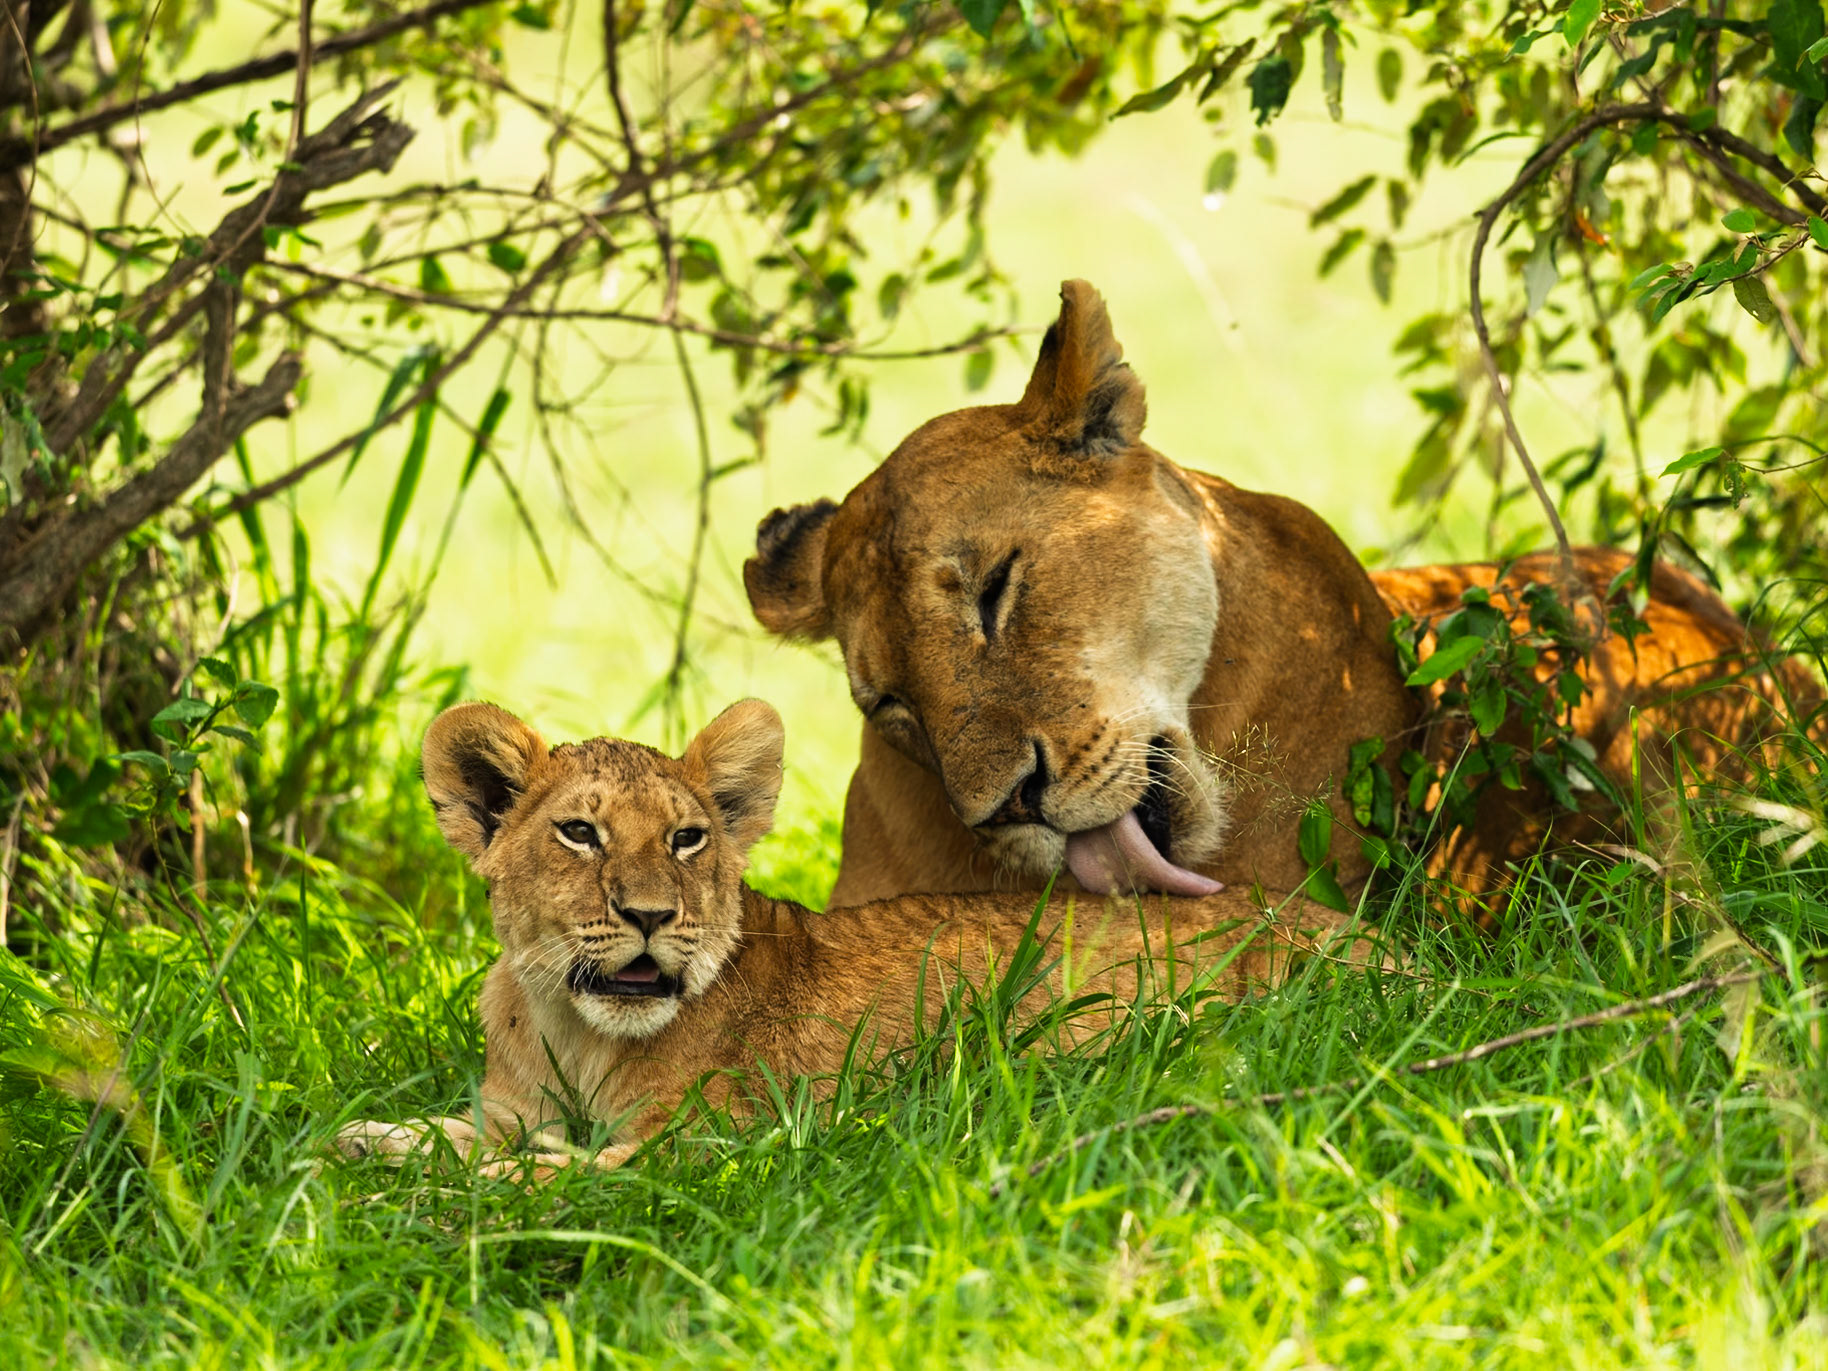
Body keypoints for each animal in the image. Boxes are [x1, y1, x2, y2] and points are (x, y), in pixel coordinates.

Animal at [335, 699, 1371, 1175]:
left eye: (687, 839)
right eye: (579, 833)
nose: (651, 917)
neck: (574, 1035)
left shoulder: (710, 1138)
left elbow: (547, 1172)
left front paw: (446, 1178)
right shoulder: (513, 1103)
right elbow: (460, 1128)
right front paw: (370, 1135)